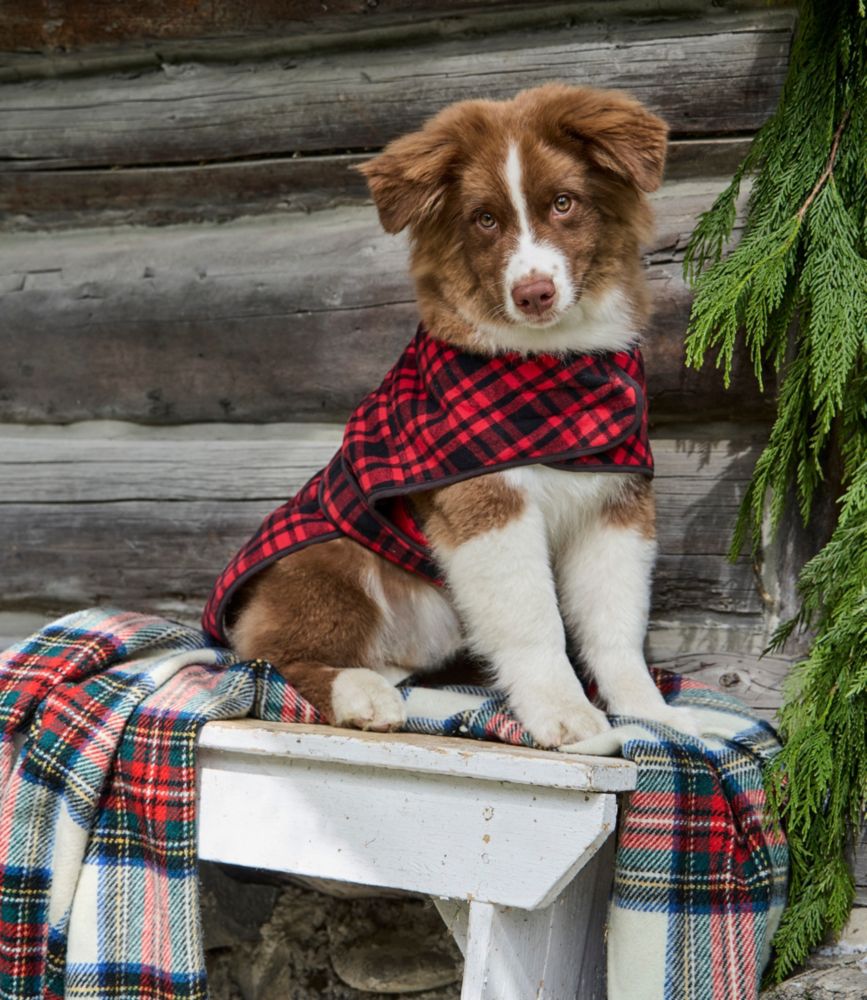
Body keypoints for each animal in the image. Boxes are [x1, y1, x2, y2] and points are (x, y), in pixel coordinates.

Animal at [205, 82, 704, 748]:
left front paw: (653, 714)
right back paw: (361, 694)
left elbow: (616, 623)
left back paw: (384, 675)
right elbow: (534, 619)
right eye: (484, 219)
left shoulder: (616, 501)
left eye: (564, 203)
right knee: (267, 654)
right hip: (326, 557)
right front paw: (566, 716)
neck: (552, 368)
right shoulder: (485, 501)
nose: (534, 294)